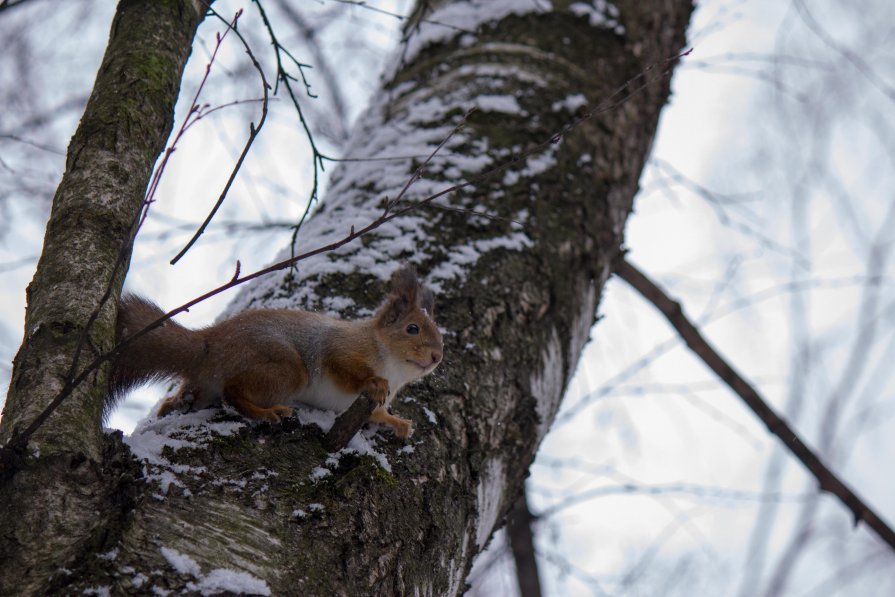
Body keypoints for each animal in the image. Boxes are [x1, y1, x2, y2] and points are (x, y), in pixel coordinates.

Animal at [110, 266, 446, 438]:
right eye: (412, 328)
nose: (437, 357)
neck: (392, 366)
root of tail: (209, 345)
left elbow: (376, 414)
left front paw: (397, 423)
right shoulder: (341, 349)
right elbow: (348, 371)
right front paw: (373, 383)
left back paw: (175, 403)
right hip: (288, 371)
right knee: (233, 393)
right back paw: (266, 412)